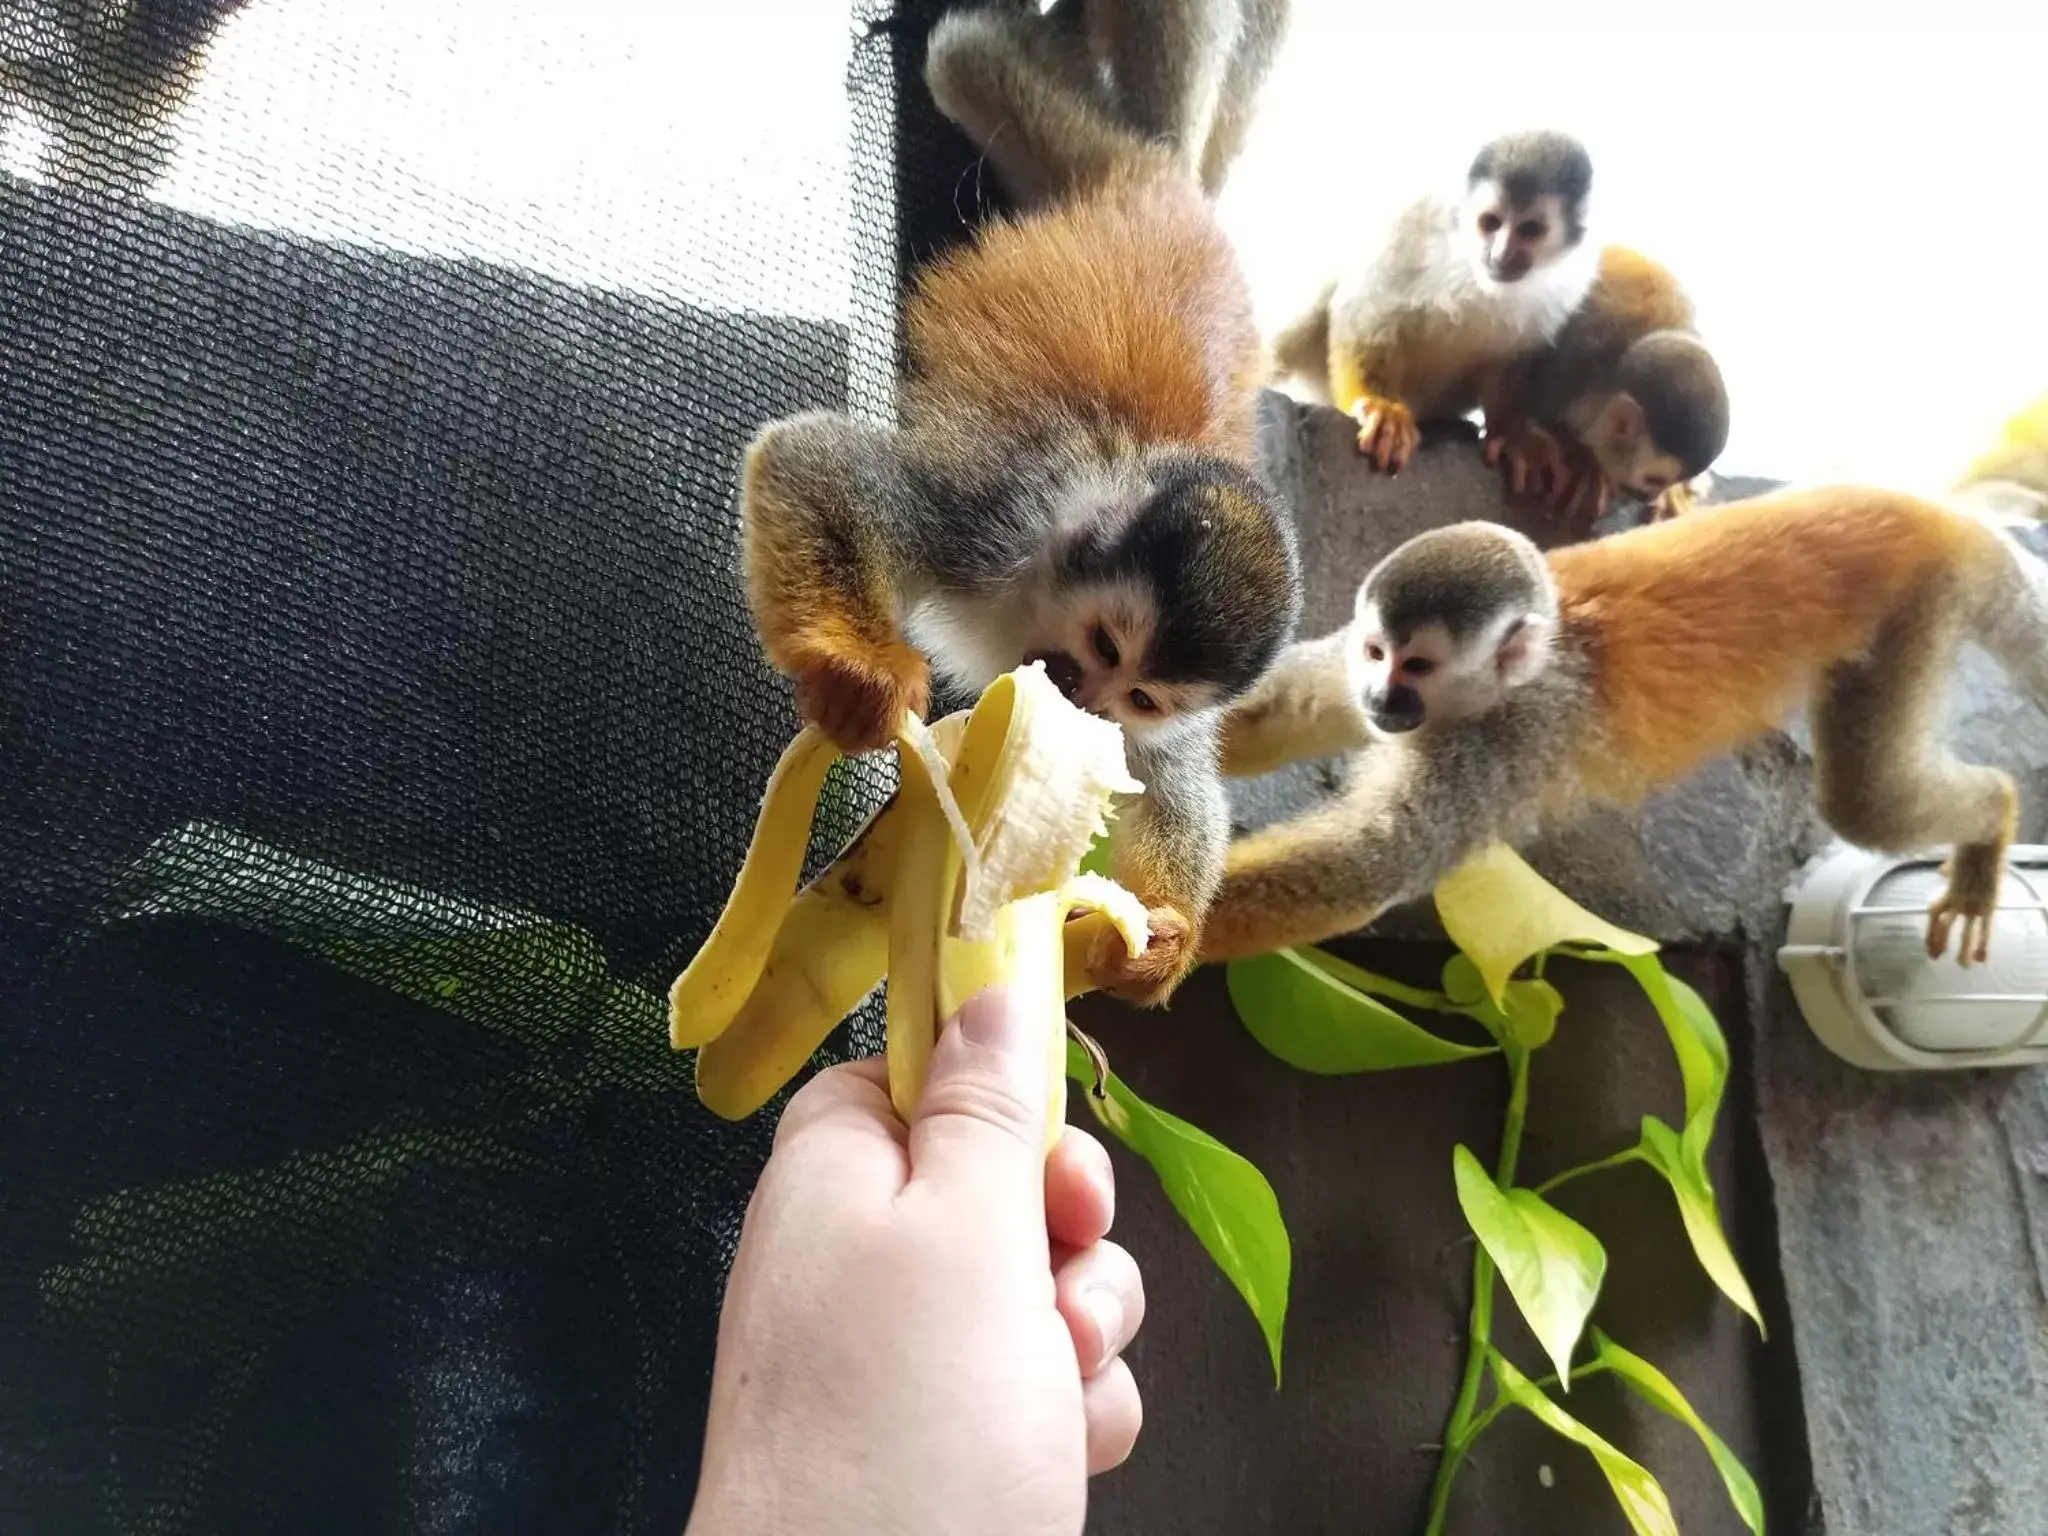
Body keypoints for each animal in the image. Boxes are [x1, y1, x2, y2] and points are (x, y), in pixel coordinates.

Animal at [1196, 493, 2048, 966]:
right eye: (1377, 653)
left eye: (1420, 666)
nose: (1379, 696)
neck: (1518, 676)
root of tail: (1941, 517)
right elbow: (1281, 710)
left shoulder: (1506, 737)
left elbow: (1372, 864)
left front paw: (1162, 930)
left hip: (1922, 604)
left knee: (1865, 803)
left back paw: (1993, 821)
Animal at [1261, 136, 1597, 479]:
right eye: (1490, 223)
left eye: (1530, 230)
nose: (1499, 255)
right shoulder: (1413, 217)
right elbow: (1366, 306)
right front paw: (1379, 405)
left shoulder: (1569, 285)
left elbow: (1512, 358)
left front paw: (1512, 431)